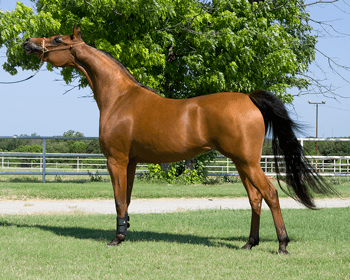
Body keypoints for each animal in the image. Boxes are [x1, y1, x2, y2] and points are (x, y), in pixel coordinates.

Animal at [22, 25, 336, 254]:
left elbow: (118, 199)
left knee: (270, 194)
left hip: (248, 162)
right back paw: (249, 243)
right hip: (241, 163)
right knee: (255, 198)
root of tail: (249, 98)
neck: (120, 98)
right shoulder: (131, 162)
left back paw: (282, 244)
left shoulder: (116, 160)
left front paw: (116, 238)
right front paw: (125, 231)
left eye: (57, 38)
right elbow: (127, 199)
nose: (27, 43)